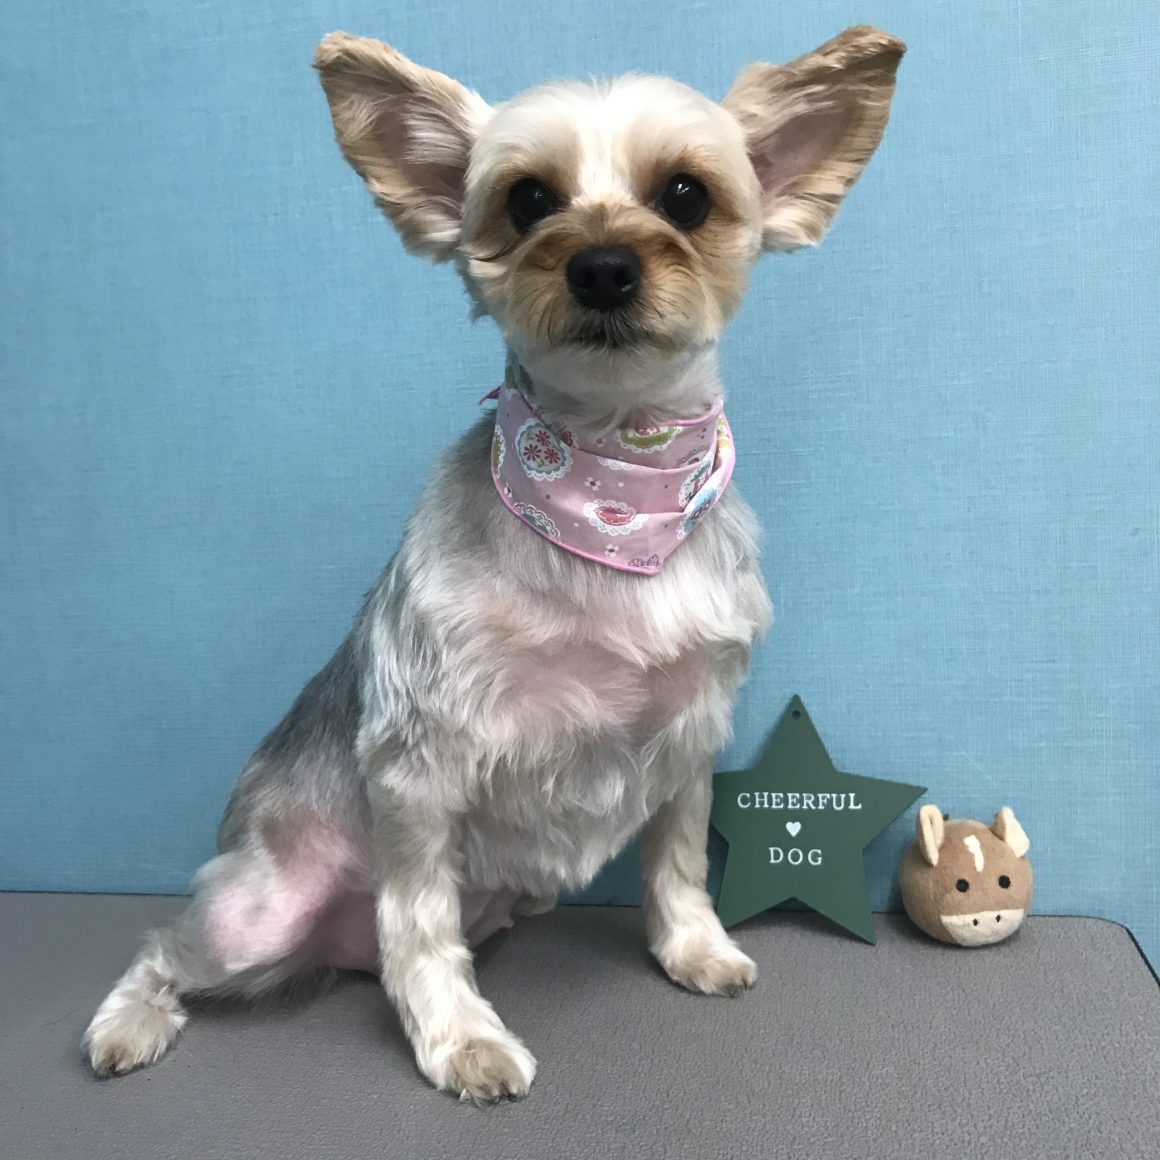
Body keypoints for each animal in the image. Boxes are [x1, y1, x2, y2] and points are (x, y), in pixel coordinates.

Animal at [83, 26, 903, 1101]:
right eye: (528, 199)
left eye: (685, 195)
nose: (602, 266)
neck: (611, 488)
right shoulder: (416, 762)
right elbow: (420, 923)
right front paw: (461, 1037)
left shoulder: (693, 730)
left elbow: (677, 860)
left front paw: (695, 948)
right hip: (250, 913)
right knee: (167, 947)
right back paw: (127, 1023)